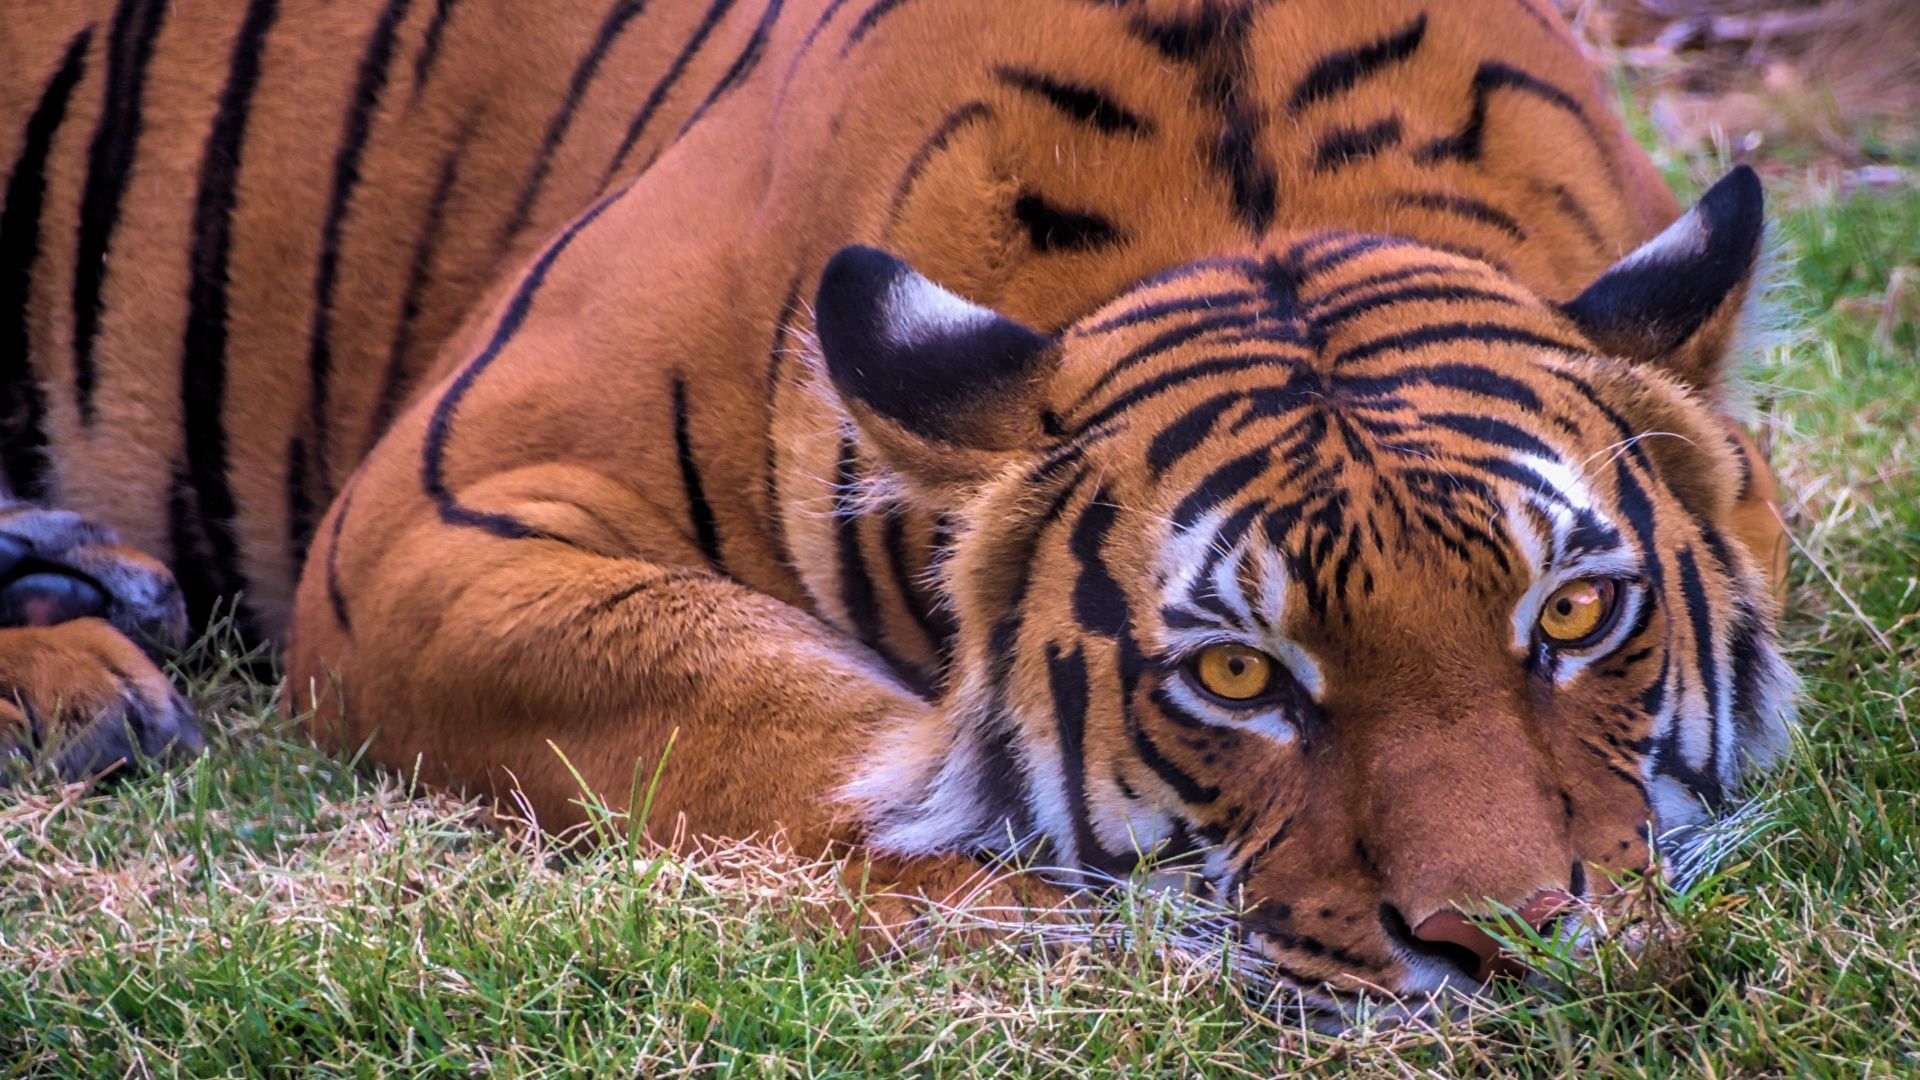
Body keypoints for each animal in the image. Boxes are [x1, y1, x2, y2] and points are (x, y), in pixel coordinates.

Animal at [0, 0, 1795, 1010]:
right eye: (1236, 675)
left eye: (1578, 612)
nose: (1512, 952)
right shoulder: (435, 523)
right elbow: (778, 722)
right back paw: (80, 679)